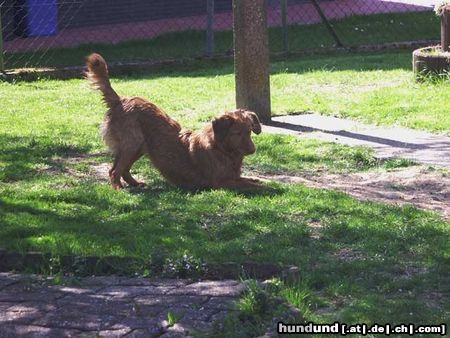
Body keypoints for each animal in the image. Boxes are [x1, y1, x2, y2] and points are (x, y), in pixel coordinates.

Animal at [85, 53, 262, 190]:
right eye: (236, 133)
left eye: (249, 131)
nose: (253, 150)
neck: (220, 148)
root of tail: (120, 100)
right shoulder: (222, 182)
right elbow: (256, 186)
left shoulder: (233, 177)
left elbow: (253, 180)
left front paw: (258, 179)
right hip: (132, 143)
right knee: (114, 171)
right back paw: (118, 189)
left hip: (140, 146)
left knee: (122, 169)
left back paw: (135, 183)